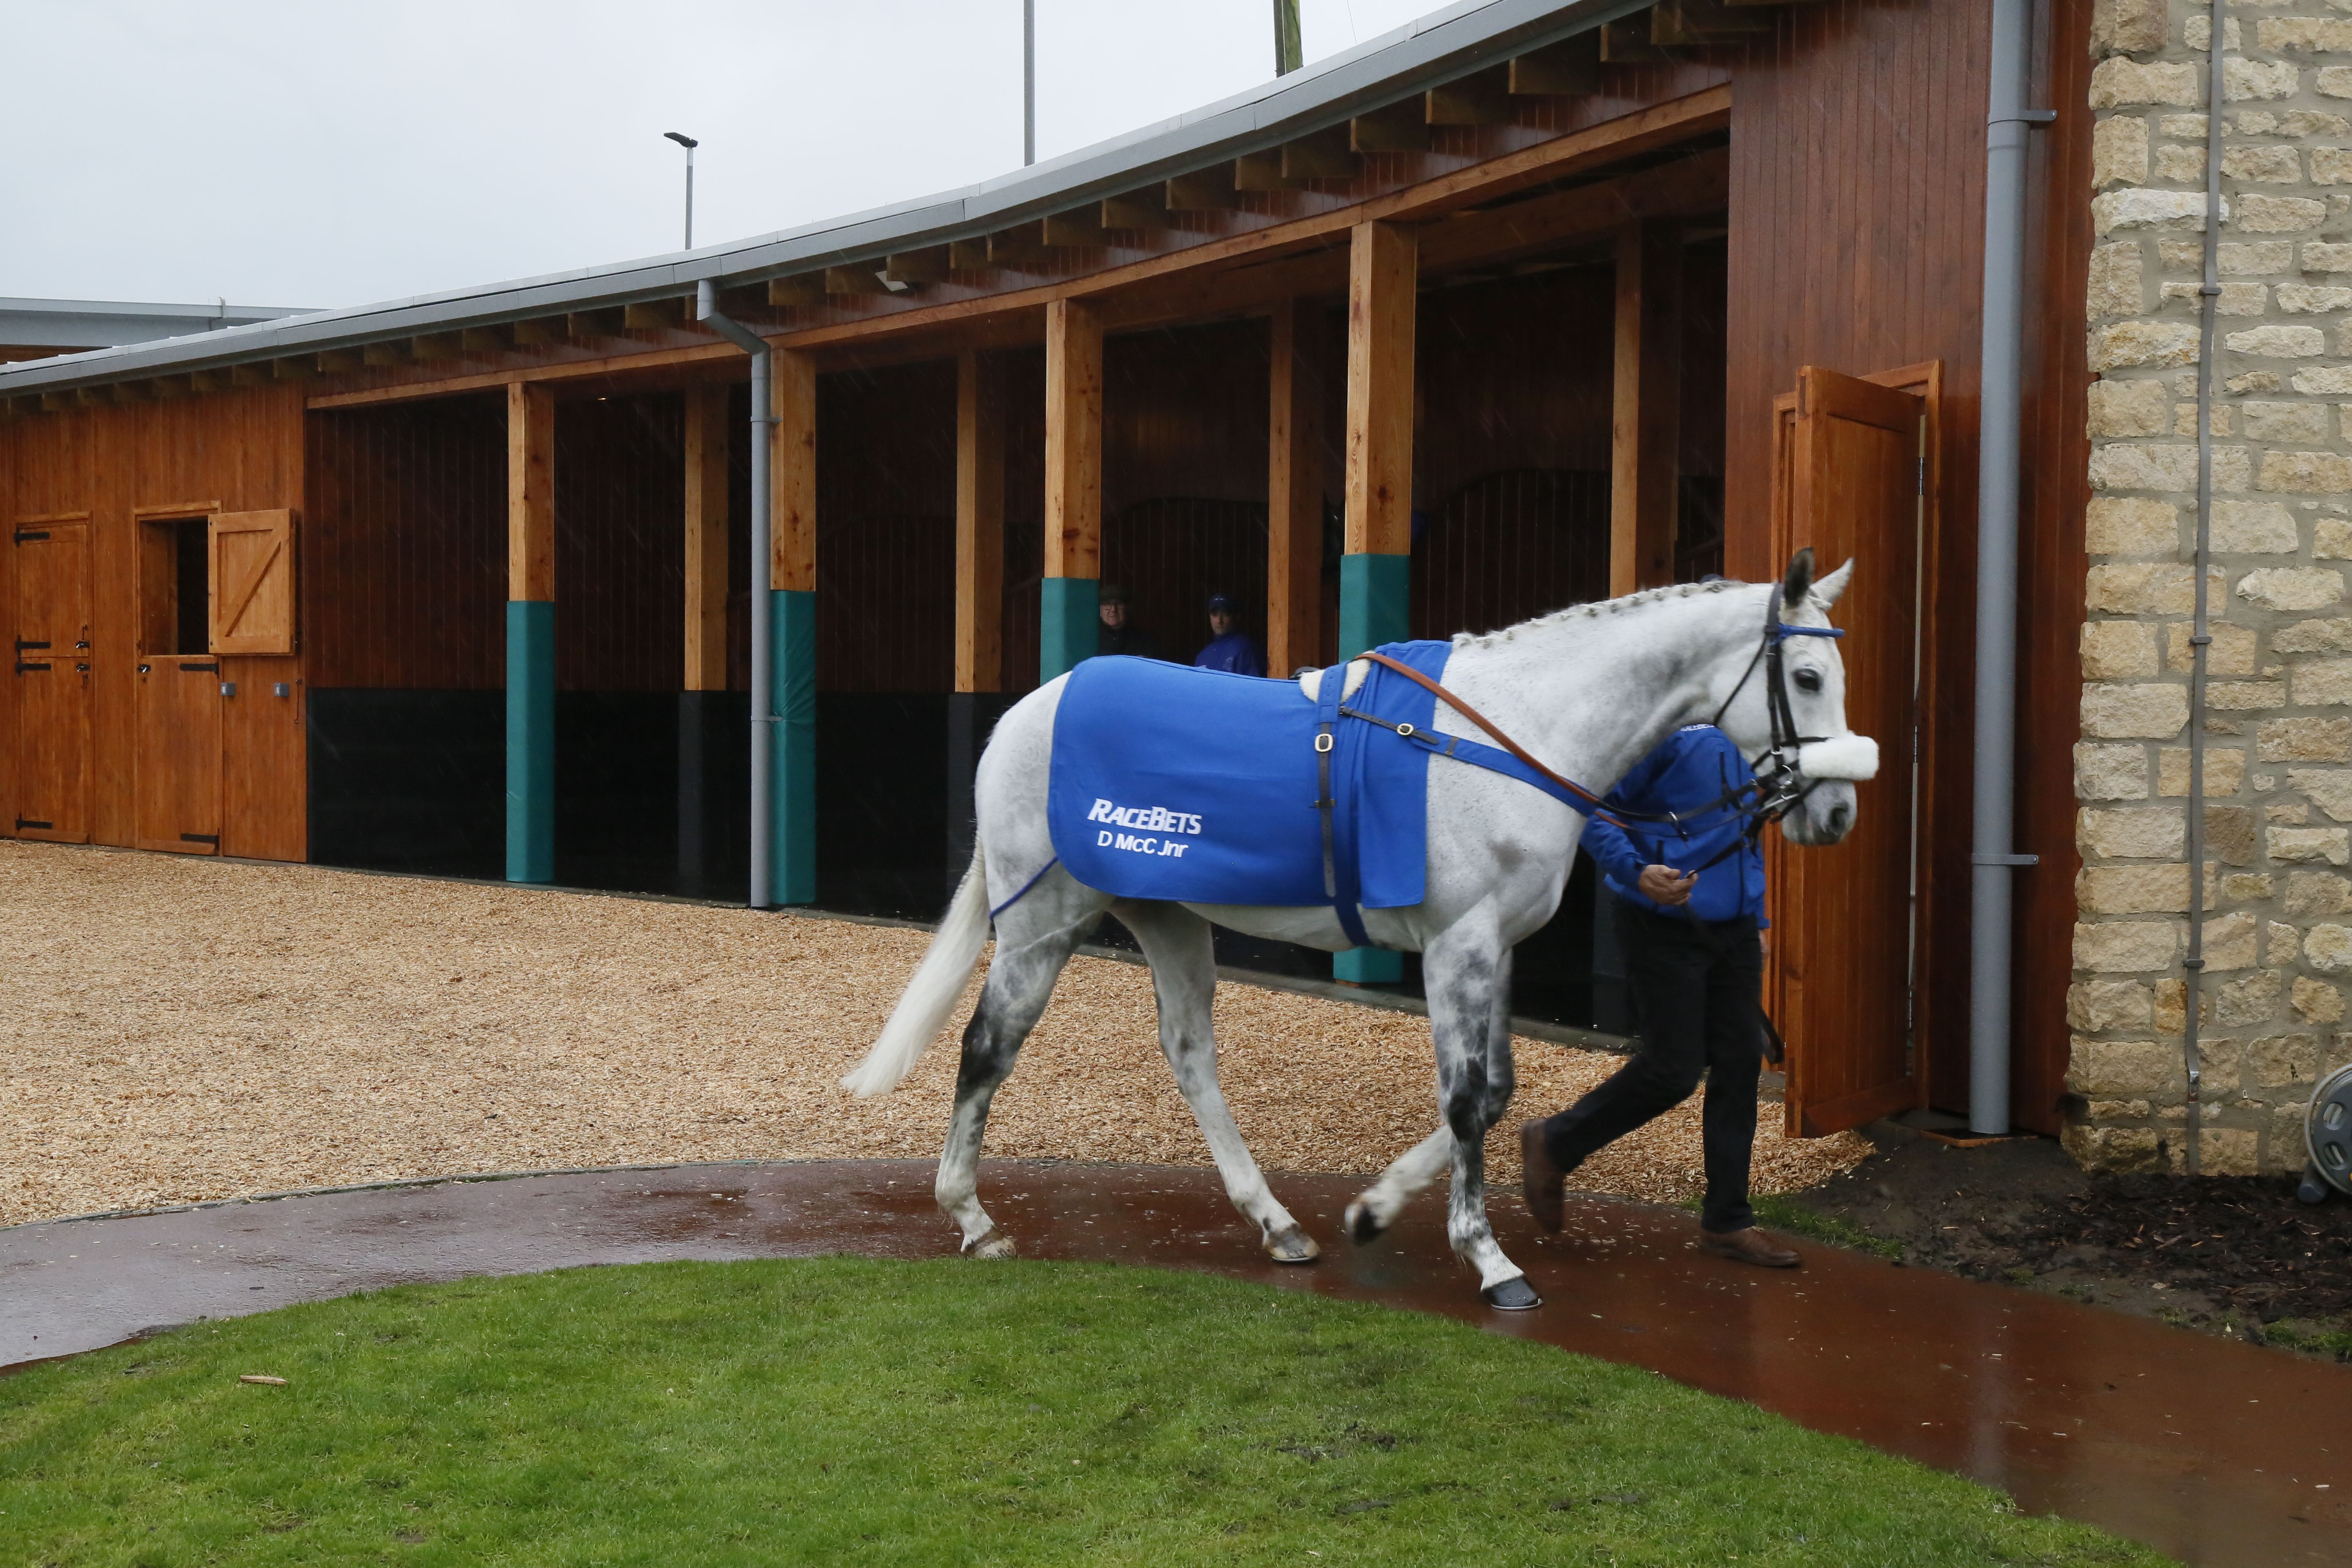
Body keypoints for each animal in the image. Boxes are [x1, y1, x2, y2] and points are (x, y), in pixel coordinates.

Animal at [851, 545, 1872, 1307]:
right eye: (1807, 674)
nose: (1836, 815)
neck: (1508, 733)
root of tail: (1023, 713)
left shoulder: (1494, 945)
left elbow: (1495, 1094)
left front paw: (1373, 1213)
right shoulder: (1458, 944)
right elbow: (1466, 1099)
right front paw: (1488, 1259)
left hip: (1167, 916)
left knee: (1189, 1055)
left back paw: (1277, 1224)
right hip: (1043, 923)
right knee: (987, 1049)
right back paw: (973, 1219)